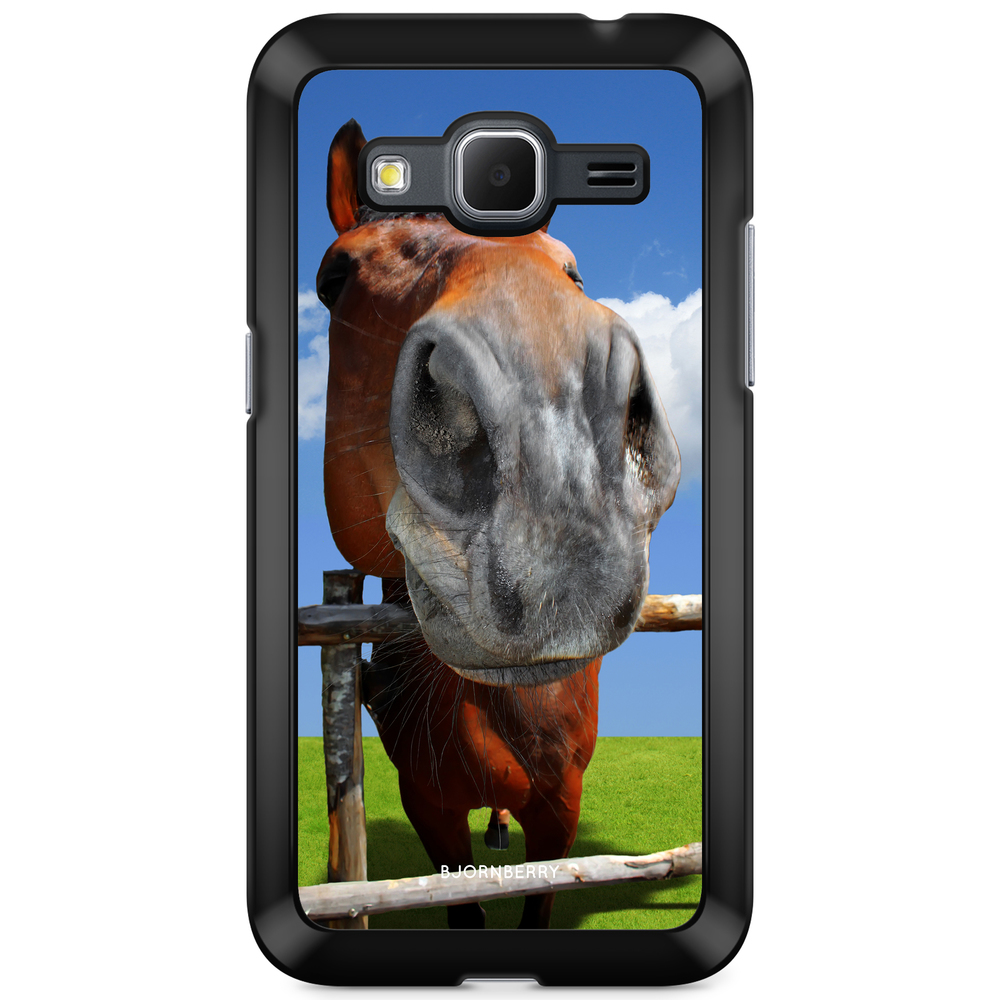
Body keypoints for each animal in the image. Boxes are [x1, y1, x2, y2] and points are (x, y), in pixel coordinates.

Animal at [318, 119, 680, 928]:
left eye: (572, 271)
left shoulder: (561, 811)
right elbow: (465, 902)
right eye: (333, 279)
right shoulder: (429, 811)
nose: (555, 456)